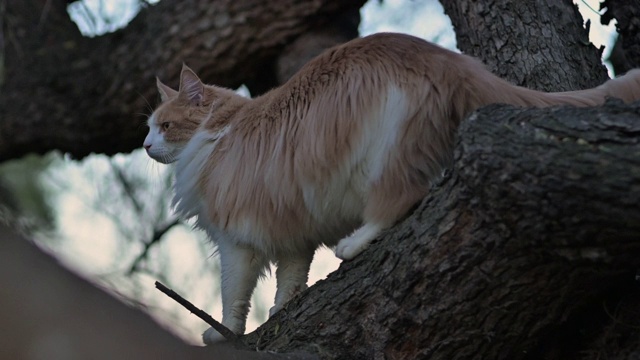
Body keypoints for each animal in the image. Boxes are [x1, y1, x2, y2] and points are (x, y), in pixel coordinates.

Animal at [145, 31, 640, 344]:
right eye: (148, 128)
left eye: (164, 126)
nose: (147, 145)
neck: (223, 128)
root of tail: (450, 59)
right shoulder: (292, 230)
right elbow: (290, 278)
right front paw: (283, 310)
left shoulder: (236, 241)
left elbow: (233, 296)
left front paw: (224, 332)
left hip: (386, 154)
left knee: (397, 202)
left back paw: (354, 243)